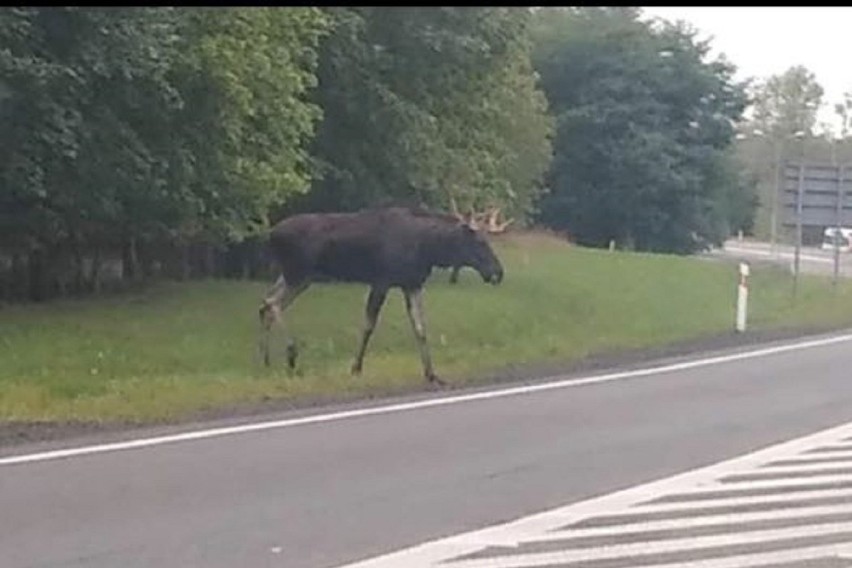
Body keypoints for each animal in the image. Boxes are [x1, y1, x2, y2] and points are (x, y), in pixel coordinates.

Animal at [256, 204, 502, 386]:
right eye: (480, 242)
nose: (498, 273)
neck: (429, 248)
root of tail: (270, 234)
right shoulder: (381, 281)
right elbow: (368, 325)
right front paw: (356, 368)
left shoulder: (411, 284)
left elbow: (420, 328)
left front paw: (432, 374)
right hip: (298, 273)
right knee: (271, 302)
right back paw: (291, 353)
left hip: (296, 277)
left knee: (264, 304)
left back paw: (266, 361)